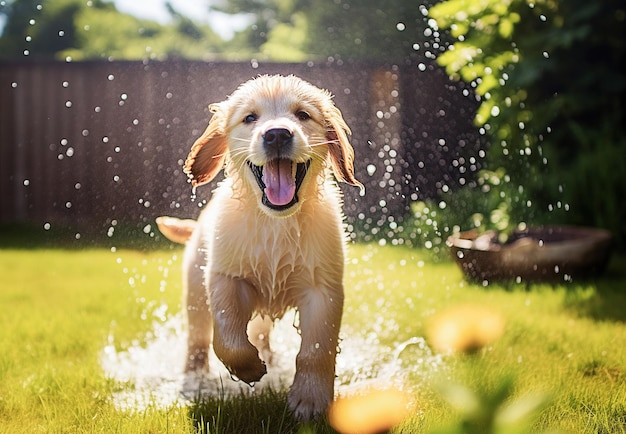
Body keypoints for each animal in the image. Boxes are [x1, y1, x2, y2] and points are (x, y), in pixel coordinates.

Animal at [156, 74, 360, 418]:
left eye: (302, 115)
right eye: (250, 118)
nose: (277, 134)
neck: (275, 222)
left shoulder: (323, 288)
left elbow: (317, 349)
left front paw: (310, 399)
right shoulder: (226, 278)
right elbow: (228, 341)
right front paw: (249, 370)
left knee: (260, 333)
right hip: (196, 294)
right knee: (198, 340)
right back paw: (195, 378)